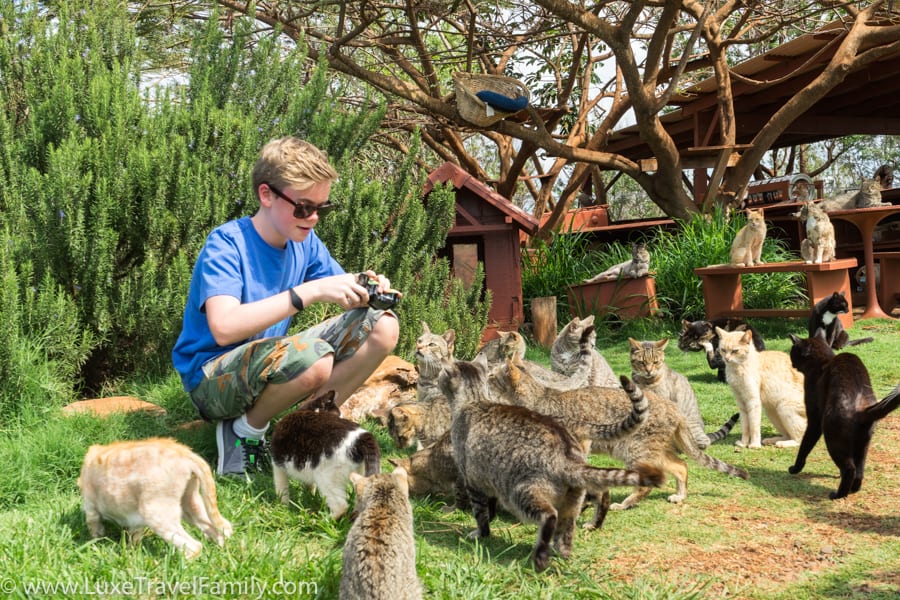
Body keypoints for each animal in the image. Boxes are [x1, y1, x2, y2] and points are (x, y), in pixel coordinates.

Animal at [78, 436, 232, 556]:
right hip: (190, 505)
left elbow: (95, 530)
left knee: (194, 546)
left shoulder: (91, 509)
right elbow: (135, 538)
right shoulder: (136, 522)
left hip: (157, 514)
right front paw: (132, 555)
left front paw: (95, 544)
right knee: (218, 530)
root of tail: (186, 454)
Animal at [440, 356, 664, 572]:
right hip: (571, 496)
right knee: (584, 512)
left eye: (493, 375)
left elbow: (481, 513)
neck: (474, 399)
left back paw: (541, 556)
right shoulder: (488, 477)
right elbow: (490, 507)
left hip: (521, 492)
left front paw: (481, 532)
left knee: (552, 515)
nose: (489, 378)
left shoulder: (472, 480)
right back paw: (573, 542)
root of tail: (566, 456)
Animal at [488, 356, 748, 516]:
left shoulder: (580, 441)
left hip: (636, 452)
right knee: (681, 466)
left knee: (649, 484)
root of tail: (675, 409)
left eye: (492, 376)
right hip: (650, 451)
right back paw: (679, 496)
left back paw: (624, 504)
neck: (538, 398)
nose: (487, 378)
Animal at [788, 330, 900, 500]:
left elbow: (805, 444)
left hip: (833, 438)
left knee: (849, 468)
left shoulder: (814, 419)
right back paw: (853, 489)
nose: (791, 363)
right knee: (859, 468)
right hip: (863, 443)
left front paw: (795, 468)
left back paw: (838, 494)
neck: (823, 362)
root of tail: (862, 411)